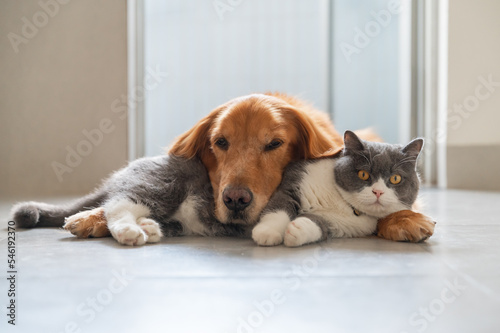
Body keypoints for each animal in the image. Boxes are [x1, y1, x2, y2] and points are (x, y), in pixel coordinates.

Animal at [252, 130, 424, 246]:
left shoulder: (339, 224)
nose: (378, 192)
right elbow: (278, 208)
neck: (343, 204)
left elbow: (320, 225)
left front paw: (298, 230)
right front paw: (267, 233)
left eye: (396, 178)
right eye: (363, 174)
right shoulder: (294, 181)